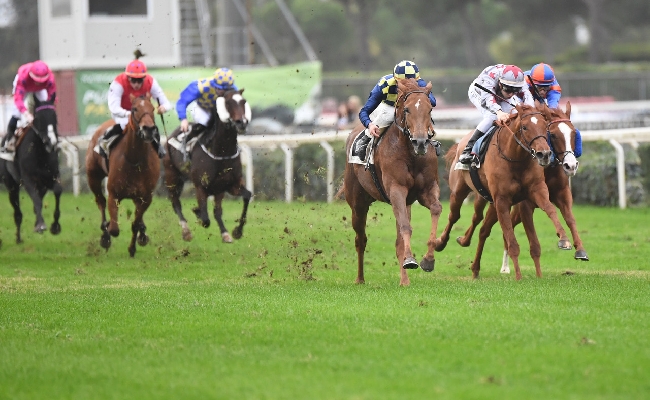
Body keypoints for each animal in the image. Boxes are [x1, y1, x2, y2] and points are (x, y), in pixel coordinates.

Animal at [0, 95, 61, 244]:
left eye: (54, 116)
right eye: (38, 118)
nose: (51, 142)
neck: (41, 153)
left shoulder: (52, 176)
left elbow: (57, 191)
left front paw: (55, 226)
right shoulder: (27, 179)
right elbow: (36, 200)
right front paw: (41, 225)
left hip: (42, 184)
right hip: (11, 184)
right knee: (18, 211)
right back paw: (18, 238)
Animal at [85, 94, 161, 256]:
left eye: (152, 108)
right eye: (134, 109)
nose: (149, 129)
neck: (134, 158)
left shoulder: (146, 197)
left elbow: (135, 223)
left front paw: (133, 247)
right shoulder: (114, 194)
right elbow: (114, 228)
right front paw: (107, 232)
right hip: (93, 177)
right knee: (100, 202)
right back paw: (105, 231)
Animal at [162, 89, 251, 242]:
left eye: (243, 102)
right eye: (227, 103)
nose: (242, 123)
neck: (221, 152)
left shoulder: (228, 185)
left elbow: (245, 197)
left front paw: (235, 232)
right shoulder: (200, 186)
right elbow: (205, 218)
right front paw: (197, 211)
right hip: (172, 175)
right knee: (175, 202)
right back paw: (186, 231)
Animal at [340, 78, 440, 286]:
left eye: (429, 109)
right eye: (407, 109)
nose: (420, 142)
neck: (410, 154)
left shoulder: (426, 190)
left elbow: (436, 209)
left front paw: (428, 260)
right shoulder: (396, 190)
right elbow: (405, 227)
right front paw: (411, 260)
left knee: (397, 240)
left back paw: (404, 281)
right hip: (358, 203)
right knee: (360, 239)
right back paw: (360, 278)